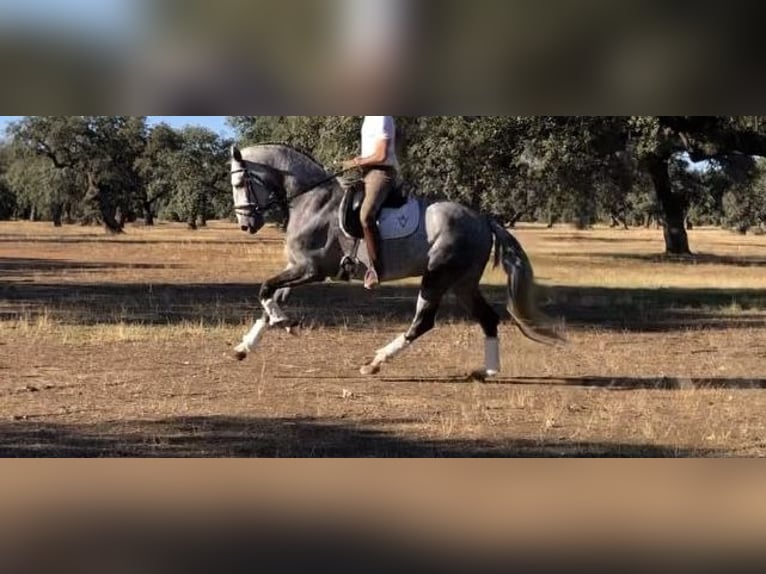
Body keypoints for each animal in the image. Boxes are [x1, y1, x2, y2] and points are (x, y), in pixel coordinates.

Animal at [230, 143, 564, 378]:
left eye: (239, 184)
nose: (246, 225)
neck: (312, 200)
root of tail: (483, 220)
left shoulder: (311, 270)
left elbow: (265, 290)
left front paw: (284, 323)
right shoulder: (296, 268)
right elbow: (269, 299)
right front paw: (247, 345)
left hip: (438, 276)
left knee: (423, 322)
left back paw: (375, 362)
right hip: (463, 283)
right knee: (488, 319)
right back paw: (488, 371)